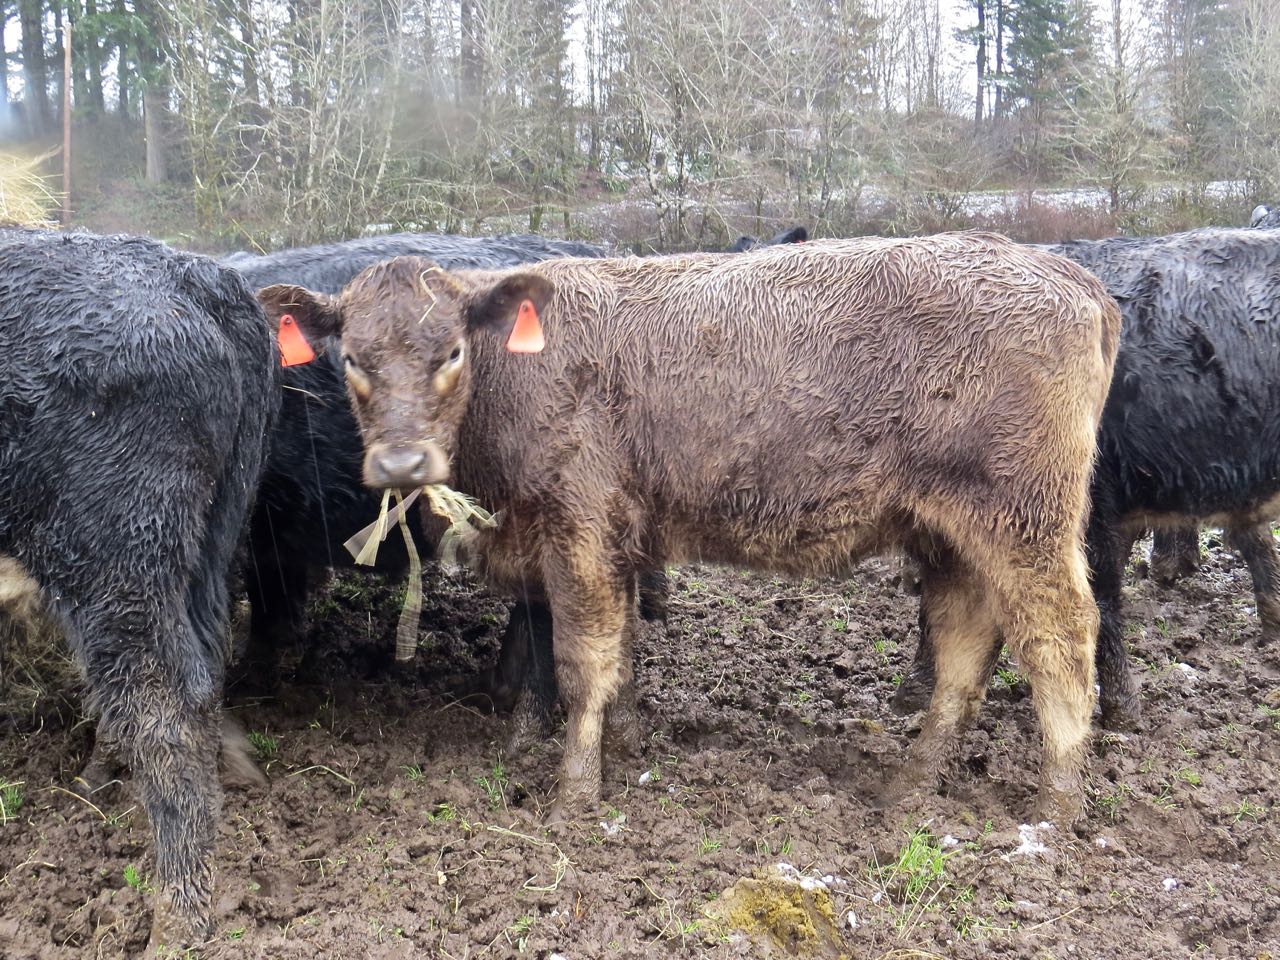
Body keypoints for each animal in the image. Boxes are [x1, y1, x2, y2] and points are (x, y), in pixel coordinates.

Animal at [255, 233, 1121, 827]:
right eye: (353, 360)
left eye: (452, 351)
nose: (402, 461)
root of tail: (1068, 276)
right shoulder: (615, 539)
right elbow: (622, 661)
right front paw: (628, 750)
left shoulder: (579, 530)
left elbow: (582, 664)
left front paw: (575, 794)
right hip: (956, 534)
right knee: (964, 652)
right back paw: (908, 786)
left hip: (1027, 525)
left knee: (1061, 642)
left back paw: (1058, 805)